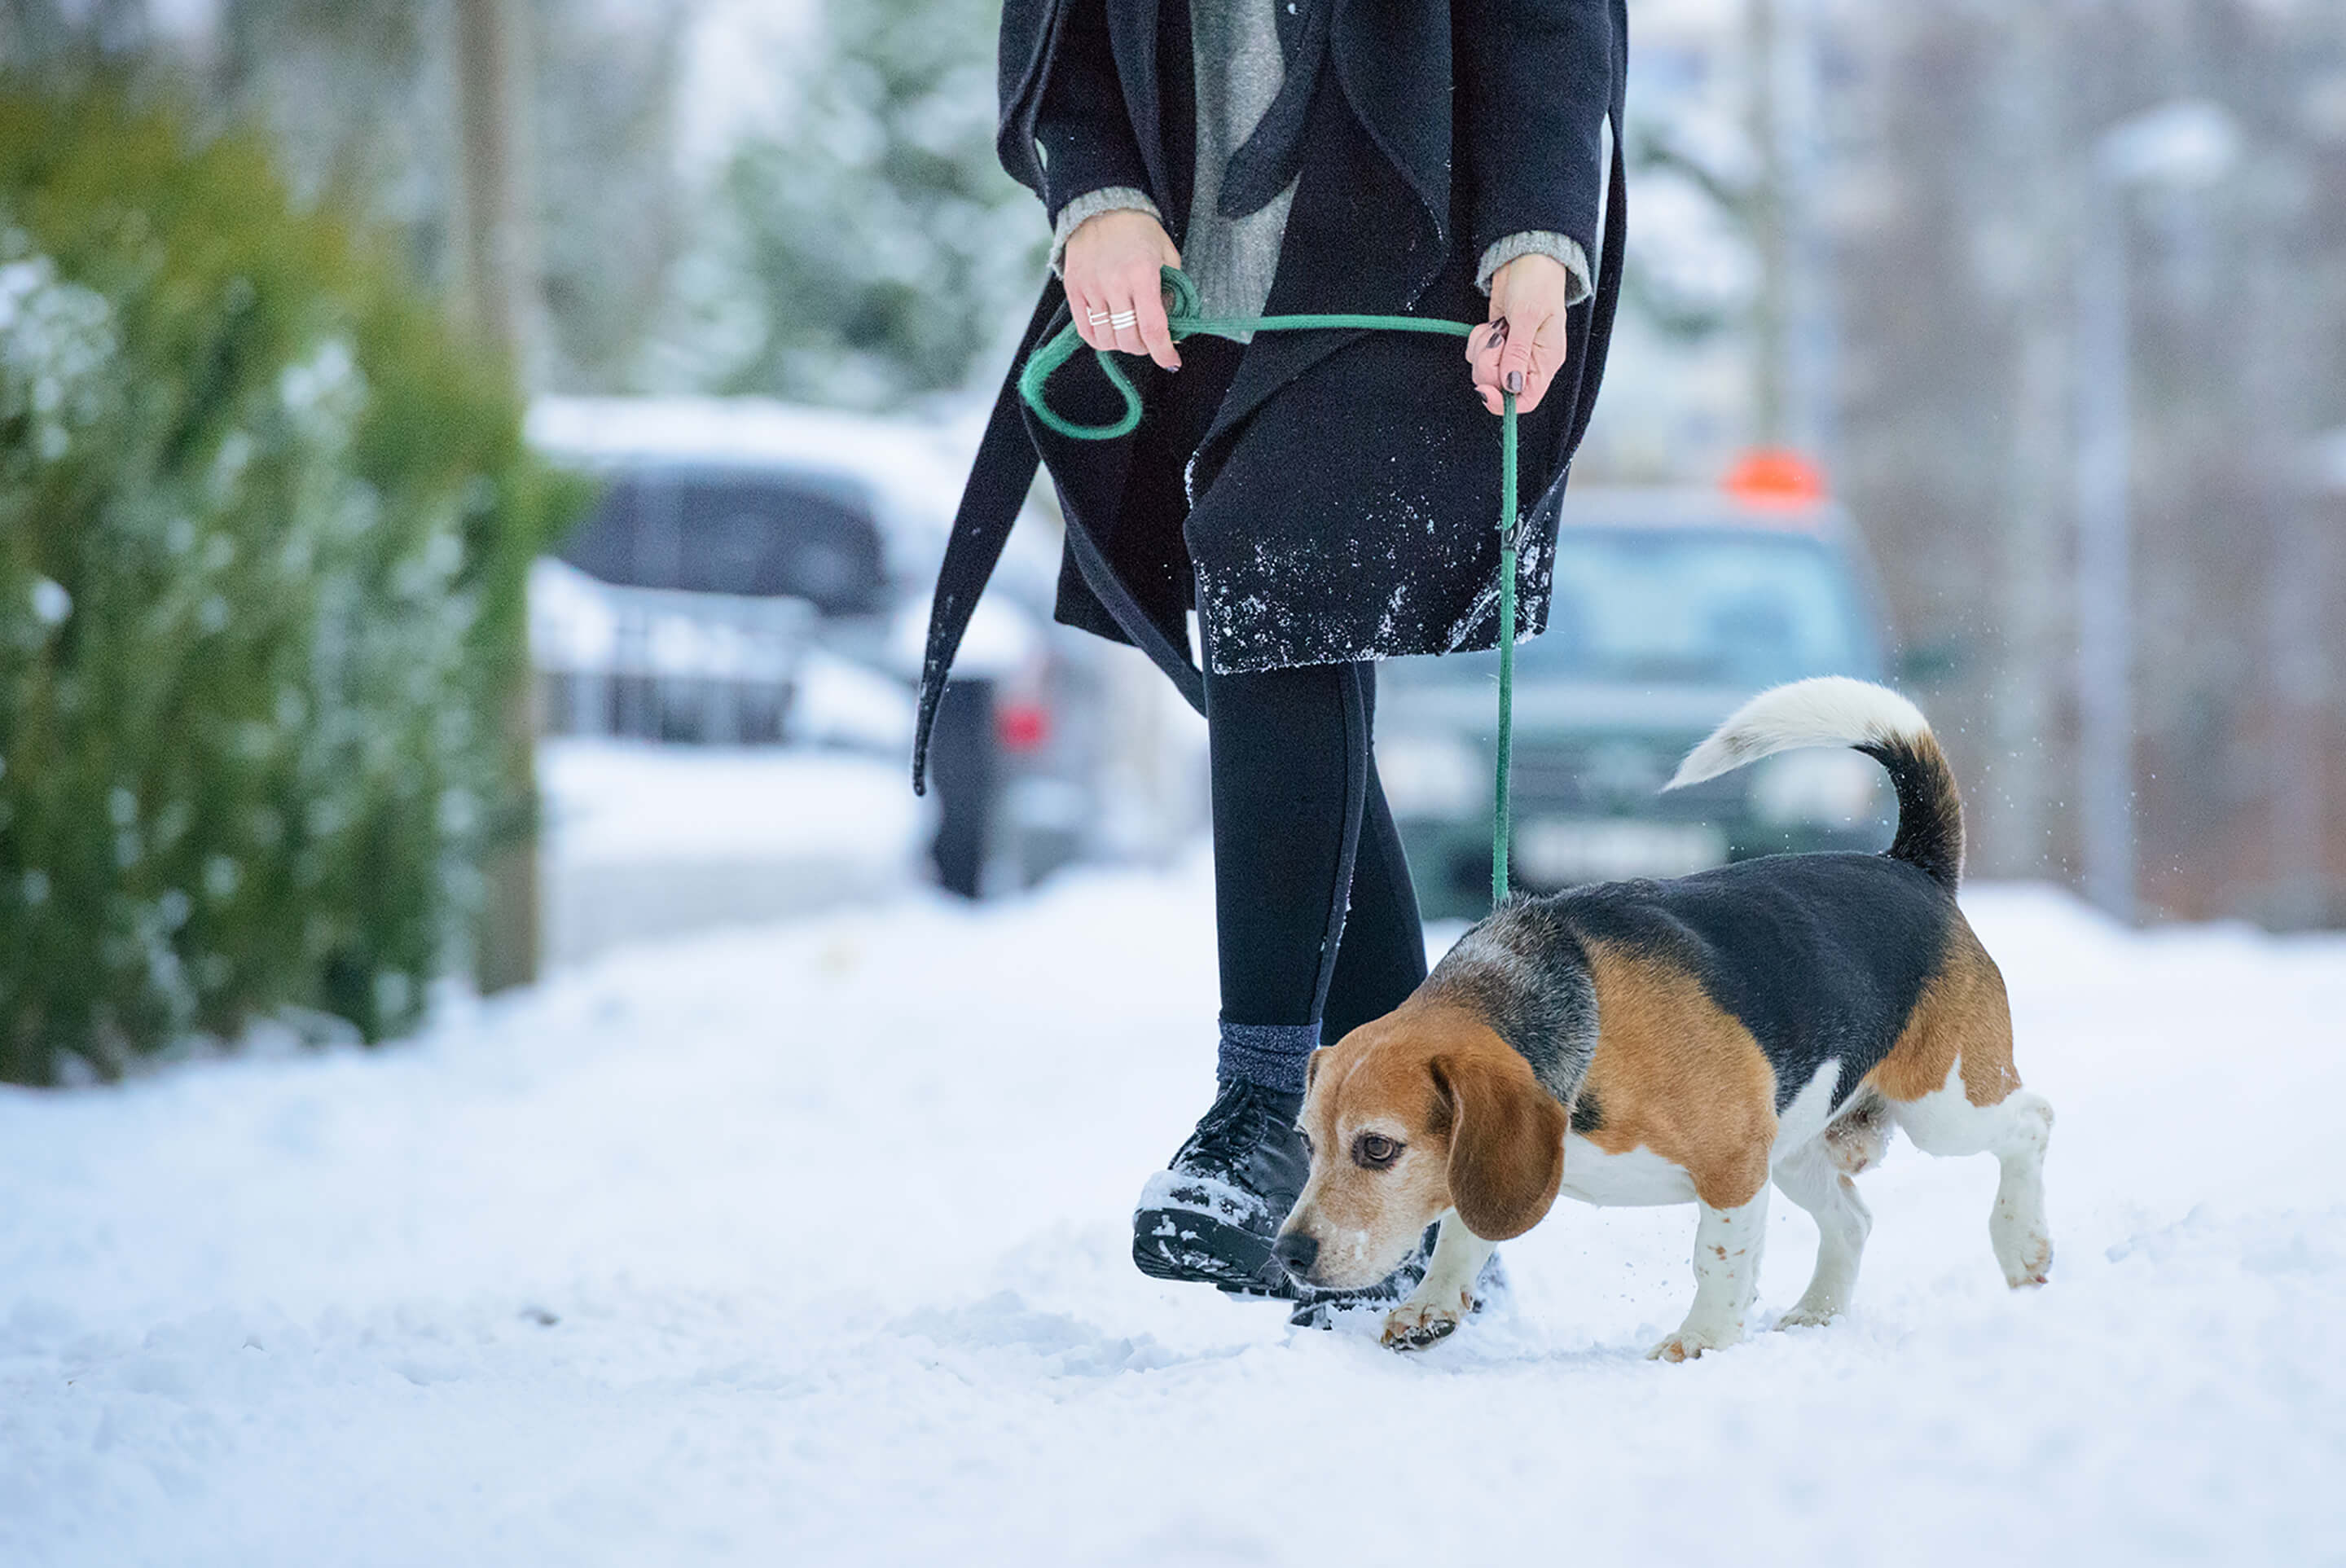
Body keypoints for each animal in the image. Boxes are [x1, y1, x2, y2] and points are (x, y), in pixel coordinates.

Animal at [1276, 675, 2064, 1361]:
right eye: (1306, 1142)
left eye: (1379, 1148)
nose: (1289, 1253)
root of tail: (1911, 866)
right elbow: (1463, 1231)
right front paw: (1432, 1304)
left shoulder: (1733, 1164)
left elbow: (1715, 1258)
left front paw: (1702, 1341)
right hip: (1798, 1144)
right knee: (1854, 1219)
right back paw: (1817, 1312)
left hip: (1943, 1106)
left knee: (2033, 1119)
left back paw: (2021, 1243)